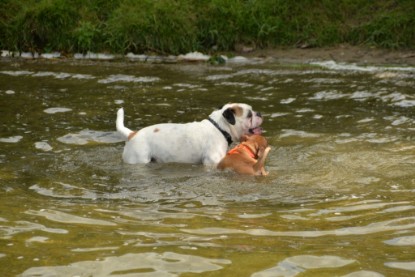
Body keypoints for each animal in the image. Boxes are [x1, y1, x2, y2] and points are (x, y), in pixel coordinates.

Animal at [115, 103, 264, 164]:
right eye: (249, 115)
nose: (259, 113)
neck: (220, 128)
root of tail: (132, 134)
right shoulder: (212, 161)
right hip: (138, 159)